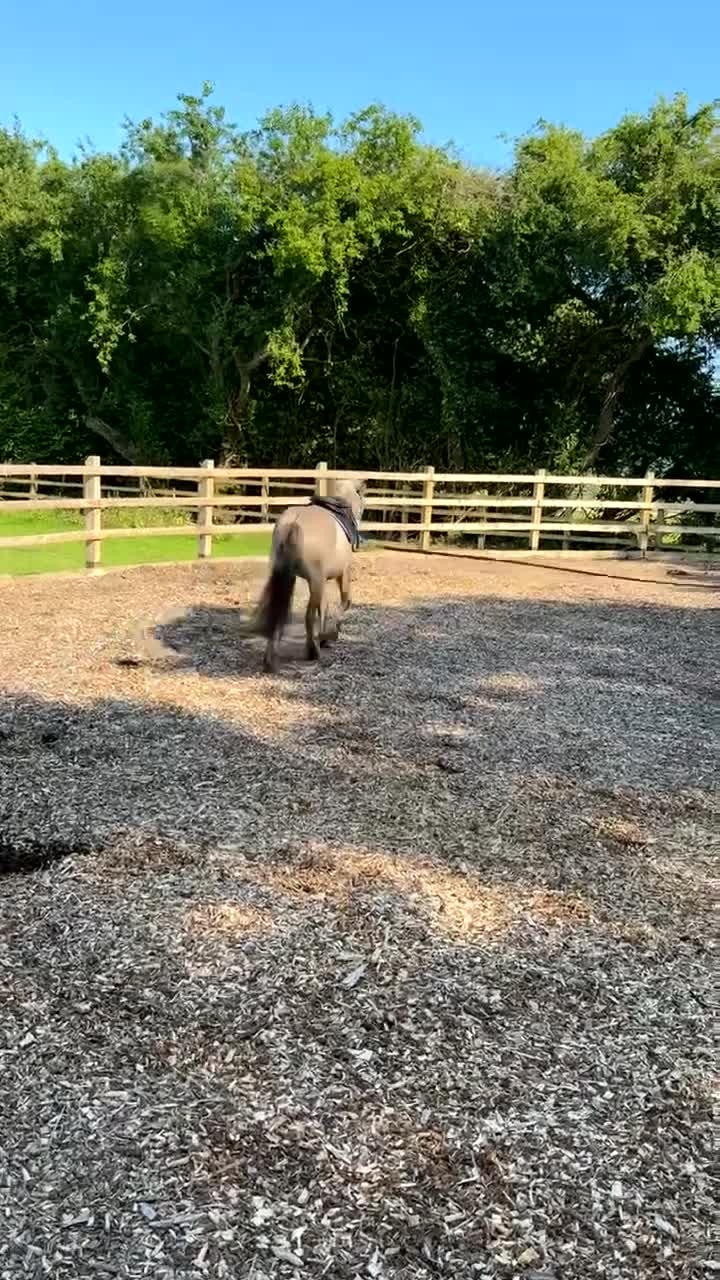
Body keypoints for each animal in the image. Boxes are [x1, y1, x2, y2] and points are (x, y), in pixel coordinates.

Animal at [254, 477, 366, 672]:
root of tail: (293, 522)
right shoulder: (342, 574)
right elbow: (344, 602)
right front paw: (329, 635)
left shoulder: (322, 580)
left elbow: (324, 607)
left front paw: (323, 638)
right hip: (315, 582)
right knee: (307, 616)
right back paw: (312, 651)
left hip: (288, 576)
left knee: (279, 613)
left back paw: (271, 658)